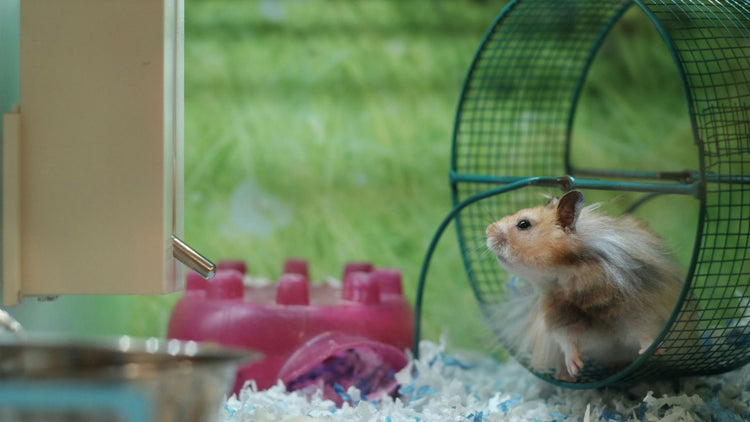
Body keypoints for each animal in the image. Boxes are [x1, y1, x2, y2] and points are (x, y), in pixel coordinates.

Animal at [488, 190, 688, 380]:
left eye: (523, 224)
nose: (487, 231)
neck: (565, 275)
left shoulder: (635, 302)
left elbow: (644, 329)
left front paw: (652, 350)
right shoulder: (558, 314)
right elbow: (567, 341)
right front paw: (575, 366)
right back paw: (568, 377)